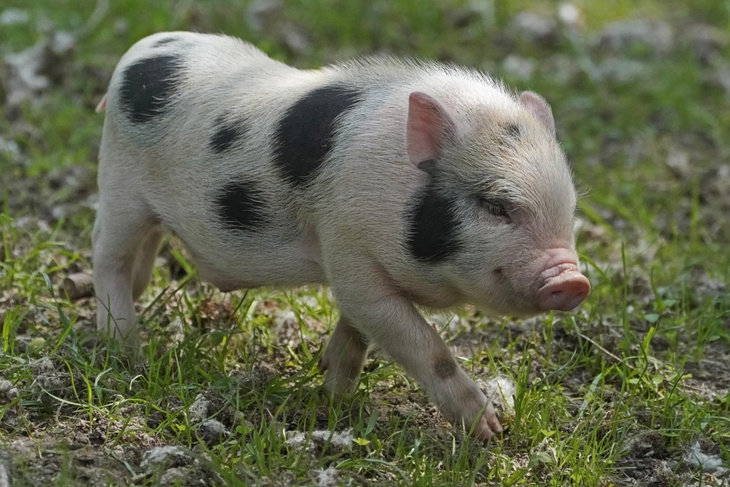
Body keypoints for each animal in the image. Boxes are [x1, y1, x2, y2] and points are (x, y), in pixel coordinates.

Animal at [93, 31, 590, 440]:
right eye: (496, 206)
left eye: (569, 207)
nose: (573, 280)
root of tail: (140, 49)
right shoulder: (348, 247)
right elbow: (422, 343)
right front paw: (489, 430)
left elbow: (356, 333)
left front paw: (332, 393)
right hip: (119, 186)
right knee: (106, 257)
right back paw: (126, 351)